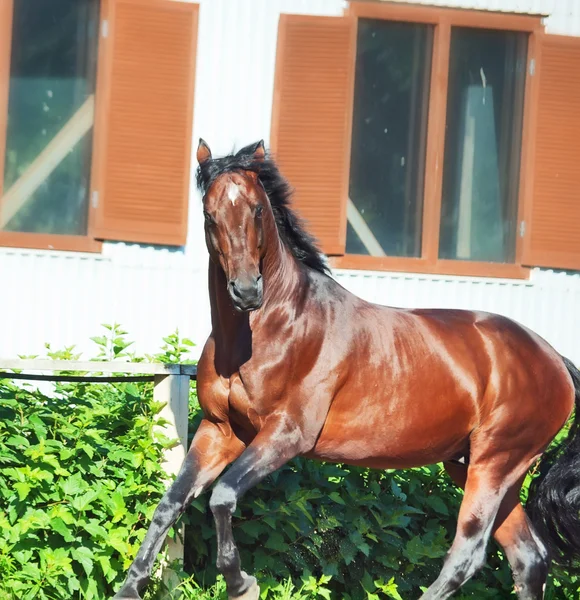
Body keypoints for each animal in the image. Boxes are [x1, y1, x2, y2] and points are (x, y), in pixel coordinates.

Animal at [113, 141, 580, 600]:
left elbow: (222, 497)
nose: (246, 291)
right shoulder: (220, 431)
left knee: (467, 556)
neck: (265, 331)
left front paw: (242, 583)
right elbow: (170, 503)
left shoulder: (285, 434)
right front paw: (130, 588)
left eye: (257, 209)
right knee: (529, 558)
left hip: (495, 463)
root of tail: (554, 357)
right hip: (475, 466)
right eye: (210, 214)